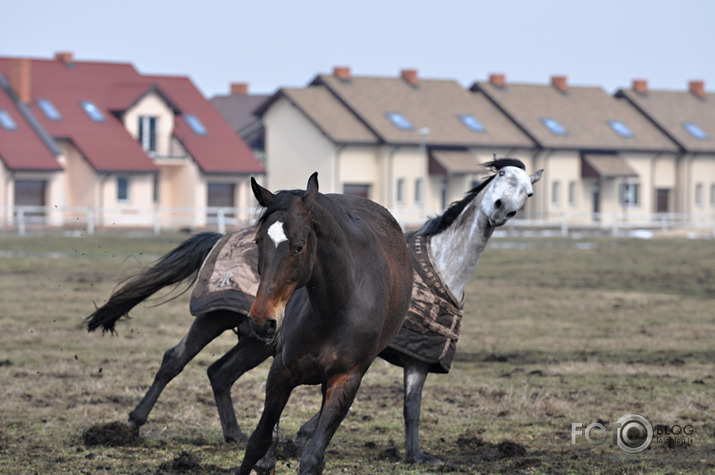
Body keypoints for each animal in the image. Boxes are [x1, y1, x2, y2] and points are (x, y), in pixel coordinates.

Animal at [238, 175, 412, 475]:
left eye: (299, 246)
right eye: (258, 241)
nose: (262, 320)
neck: (335, 308)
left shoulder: (345, 380)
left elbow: (311, 457)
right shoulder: (281, 371)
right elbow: (258, 442)